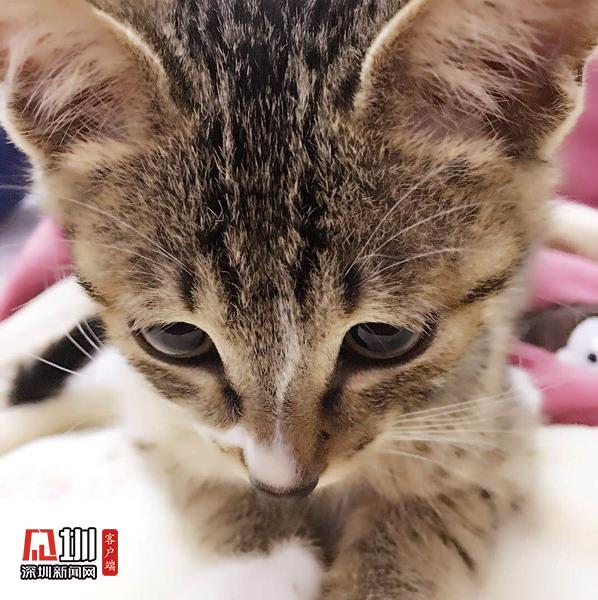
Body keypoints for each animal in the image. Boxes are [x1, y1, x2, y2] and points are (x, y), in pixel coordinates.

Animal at [1, 0, 597, 598]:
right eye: (176, 337)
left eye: (386, 337)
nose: (283, 484)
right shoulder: (164, 424)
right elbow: (207, 481)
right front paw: (264, 567)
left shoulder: (494, 428)